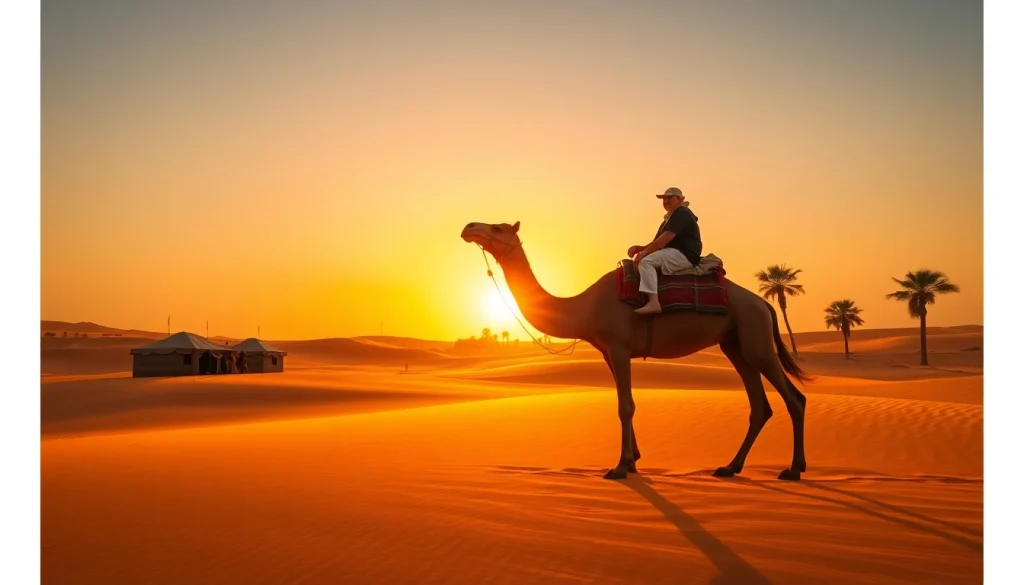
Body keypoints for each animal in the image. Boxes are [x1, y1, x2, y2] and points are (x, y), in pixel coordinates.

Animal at [461, 221, 811, 481]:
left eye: (498, 227)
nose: (468, 227)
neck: (584, 308)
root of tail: (764, 303)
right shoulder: (609, 352)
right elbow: (623, 401)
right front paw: (632, 461)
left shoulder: (619, 346)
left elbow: (625, 406)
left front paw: (619, 466)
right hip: (734, 344)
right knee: (759, 406)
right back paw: (729, 467)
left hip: (755, 337)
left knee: (794, 398)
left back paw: (793, 469)